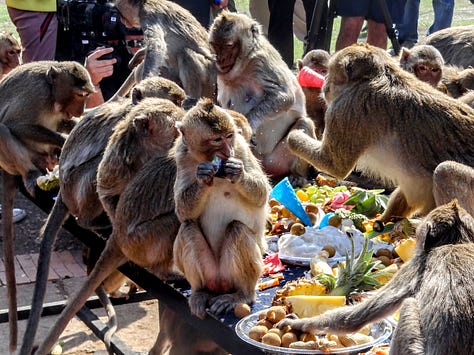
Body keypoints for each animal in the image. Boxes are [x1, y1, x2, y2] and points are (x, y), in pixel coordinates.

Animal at [0, 60, 93, 354]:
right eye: (80, 95)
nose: (82, 110)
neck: (52, 94)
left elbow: (64, 122)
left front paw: (75, 125)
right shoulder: (36, 94)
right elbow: (14, 122)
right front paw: (65, 139)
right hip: (12, 160)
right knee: (3, 129)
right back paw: (31, 173)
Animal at [20, 76, 187, 354]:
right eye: (175, 103)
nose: (186, 114)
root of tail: (64, 193)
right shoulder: (122, 132)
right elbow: (107, 179)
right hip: (78, 190)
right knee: (97, 174)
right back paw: (95, 223)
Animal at [173, 97, 270, 320]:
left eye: (229, 136)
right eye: (217, 139)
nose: (227, 151)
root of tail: (220, 283)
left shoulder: (241, 148)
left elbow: (262, 193)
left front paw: (238, 173)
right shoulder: (181, 156)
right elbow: (182, 211)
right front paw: (203, 176)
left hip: (231, 272)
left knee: (237, 229)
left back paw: (242, 294)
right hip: (211, 272)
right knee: (187, 227)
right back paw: (200, 292)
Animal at [208, 11, 316, 184]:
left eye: (228, 45)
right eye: (215, 45)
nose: (220, 59)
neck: (244, 63)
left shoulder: (262, 61)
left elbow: (284, 96)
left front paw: (250, 123)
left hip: (276, 160)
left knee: (304, 123)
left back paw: (297, 176)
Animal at [286, 43, 474, 222]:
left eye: (329, 72)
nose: (324, 82)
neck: (377, 76)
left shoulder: (345, 109)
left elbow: (333, 164)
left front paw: (293, 135)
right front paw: (382, 221)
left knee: (444, 172)